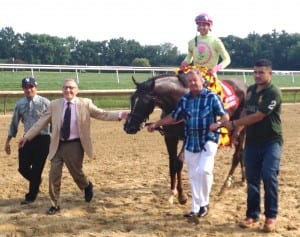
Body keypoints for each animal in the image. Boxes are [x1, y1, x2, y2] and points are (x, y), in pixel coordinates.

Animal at [123, 72, 247, 204]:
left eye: (145, 101)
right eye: (132, 98)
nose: (129, 126)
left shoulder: (189, 139)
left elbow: (179, 162)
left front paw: (182, 195)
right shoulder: (170, 138)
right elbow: (172, 163)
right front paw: (172, 193)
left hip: (240, 129)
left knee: (237, 156)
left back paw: (225, 185)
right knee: (241, 153)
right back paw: (243, 179)